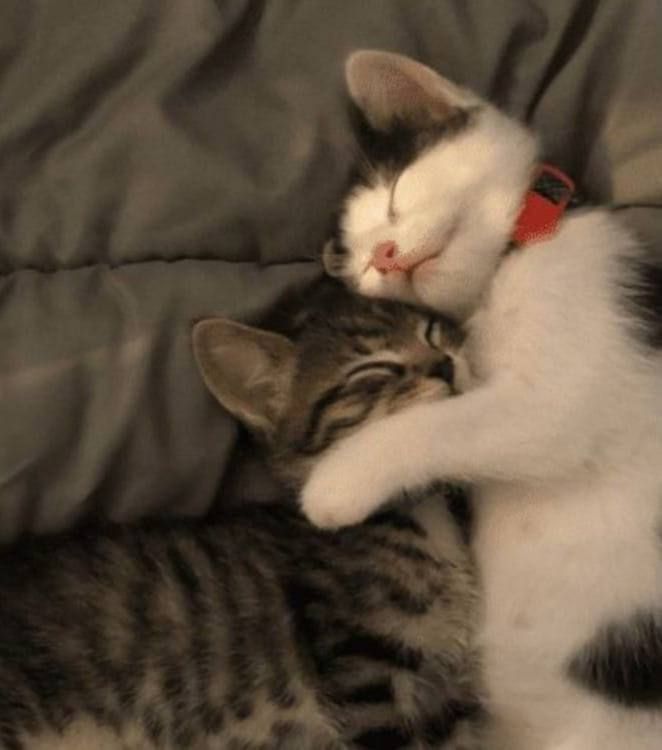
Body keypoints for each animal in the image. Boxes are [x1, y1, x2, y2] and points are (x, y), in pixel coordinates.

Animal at [0, 280, 482, 750]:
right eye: (373, 373)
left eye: (433, 332)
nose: (444, 363)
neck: (422, 513)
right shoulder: (366, 673)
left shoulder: (446, 697)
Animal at [304, 51, 662, 750]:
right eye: (358, 263)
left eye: (397, 194)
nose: (383, 256)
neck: (514, 258)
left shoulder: (562, 401)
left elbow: (446, 423)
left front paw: (333, 485)